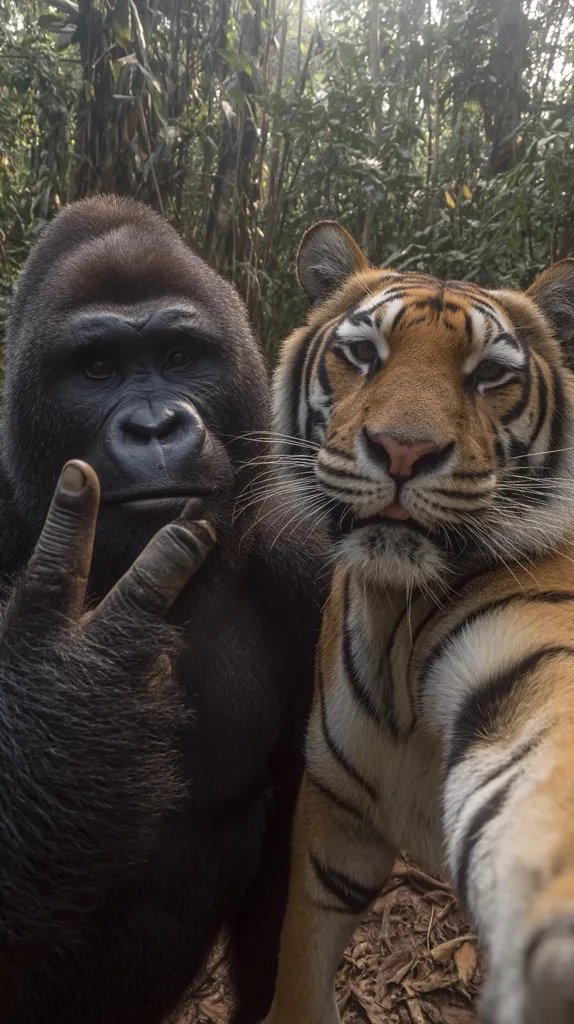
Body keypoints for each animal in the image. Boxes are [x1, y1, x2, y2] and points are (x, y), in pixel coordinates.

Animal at [263, 221, 574, 1024]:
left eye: (490, 374)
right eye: (362, 353)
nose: (405, 449)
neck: (393, 614)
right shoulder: (332, 824)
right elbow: (299, 972)